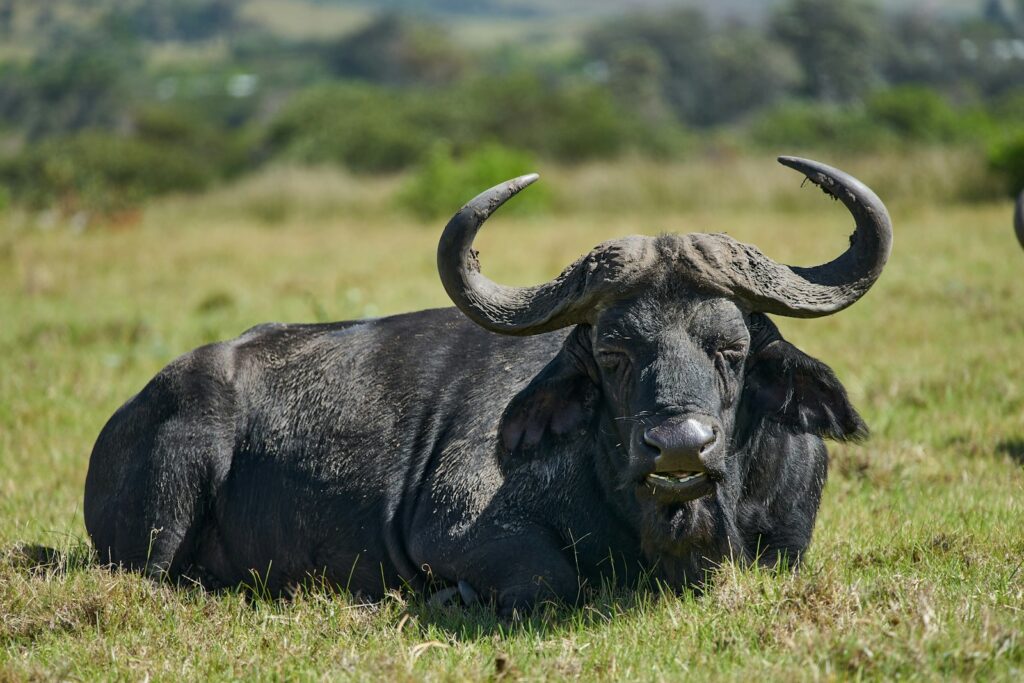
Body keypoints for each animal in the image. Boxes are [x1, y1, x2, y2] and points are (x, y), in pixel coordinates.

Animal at [84, 156, 892, 613]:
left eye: (731, 348)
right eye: (614, 352)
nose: (678, 446)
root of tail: (133, 408)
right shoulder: (459, 527)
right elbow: (551, 584)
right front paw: (453, 597)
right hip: (158, 524)